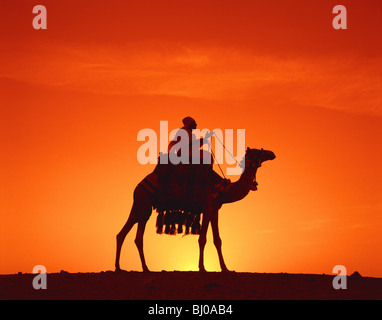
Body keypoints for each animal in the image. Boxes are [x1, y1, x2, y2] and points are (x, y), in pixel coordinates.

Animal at [115, 148, 276, 272]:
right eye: (258, 151)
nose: (272, 153)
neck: (223, 189)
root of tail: (138, 186)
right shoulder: (207, 207)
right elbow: (202, 239)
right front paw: (202, 268)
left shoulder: (215, 210)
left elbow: (218, 240)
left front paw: (226, 268)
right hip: (144, 204)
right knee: (138, 237)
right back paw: (145, 268)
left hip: (138, 205)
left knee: (121, 233)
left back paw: (118, 267)